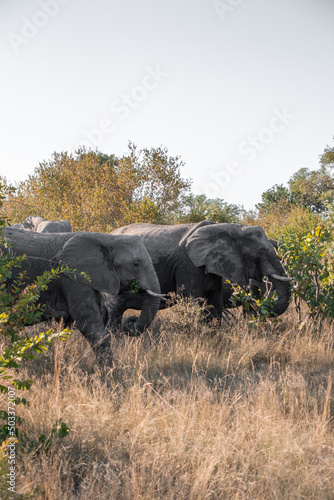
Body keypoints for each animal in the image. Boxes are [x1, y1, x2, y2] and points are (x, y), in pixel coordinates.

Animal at [1, 229, 164, 362]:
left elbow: (64, 328)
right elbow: (89, 325)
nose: (131, 321)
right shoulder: (73, 278)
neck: (107, 238)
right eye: (135, 264)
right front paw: (112, 376)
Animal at [110, 222, 292, 324]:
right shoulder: (189, 265)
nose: (262, 308)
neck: (227, 226)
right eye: (260, 252)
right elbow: (192, 301)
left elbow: (214, 304)